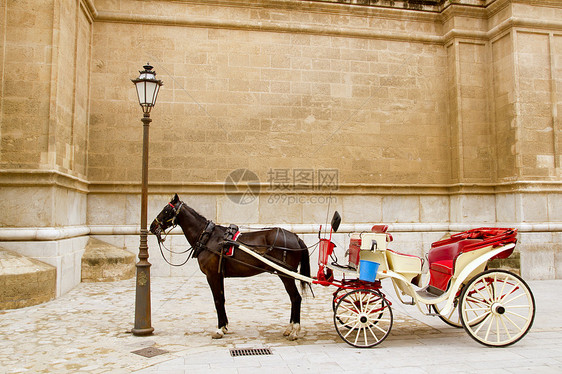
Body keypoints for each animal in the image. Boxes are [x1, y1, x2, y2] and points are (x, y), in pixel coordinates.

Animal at [149, 194, 310, 340]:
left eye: (165, 210)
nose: (152, 226)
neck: (209, 237)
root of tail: (296, 237)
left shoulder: (212, 275)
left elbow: (217, 300)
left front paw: (219, 329)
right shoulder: (219, 275)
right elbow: (222, 298)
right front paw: (224, 326)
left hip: (286, 274)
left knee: (295, 297)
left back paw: (295, 330)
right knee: (293, 298)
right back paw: (289, 328)